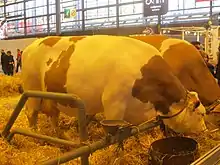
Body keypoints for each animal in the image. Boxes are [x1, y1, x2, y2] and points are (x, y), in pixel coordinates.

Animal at [21, 35, 206, 138]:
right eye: (201, 114)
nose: (205, 130)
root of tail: (33, 44)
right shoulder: (113, 103)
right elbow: (113, 133)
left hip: (52, 95)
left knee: (53, 114)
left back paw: (60, 134)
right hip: (32, 89)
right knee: (32, 113)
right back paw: (35, 134)